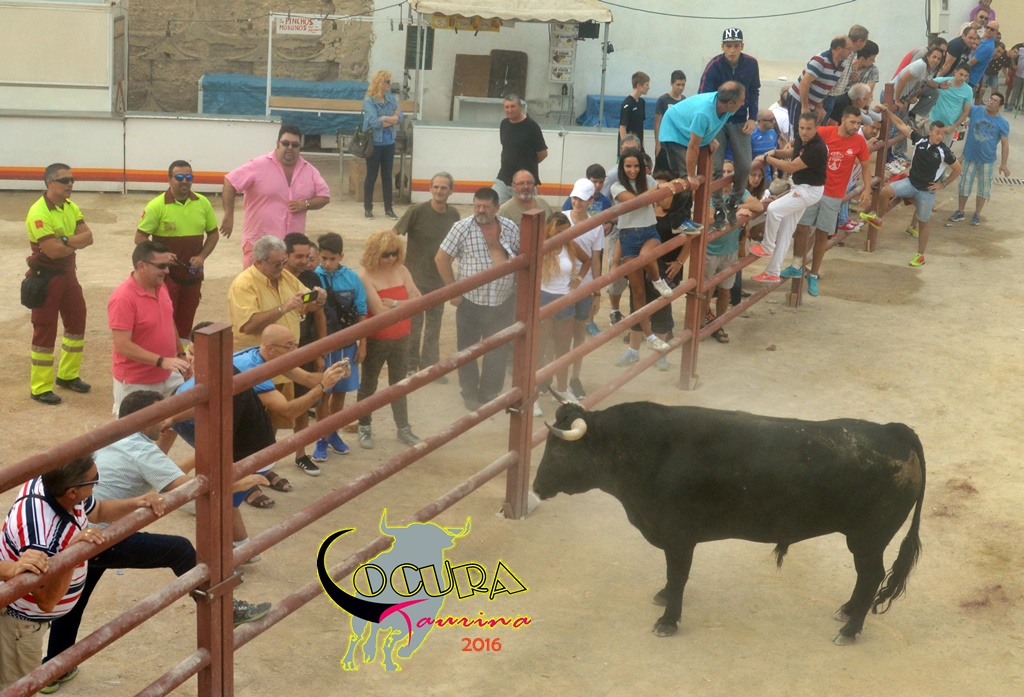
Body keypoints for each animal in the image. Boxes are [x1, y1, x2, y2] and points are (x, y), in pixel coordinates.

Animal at [532, 401, 926, 645]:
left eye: (560, 449)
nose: (535, 487)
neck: (646, 449)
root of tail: (895, 431)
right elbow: (672, 576)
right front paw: (663, 597)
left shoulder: (679, 536)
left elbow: (678, 575)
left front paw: (668, 620)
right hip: (864, 539)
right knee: (865, 577)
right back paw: (846, 610)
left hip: (868, 537)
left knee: (872, 575)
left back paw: (850, 629)